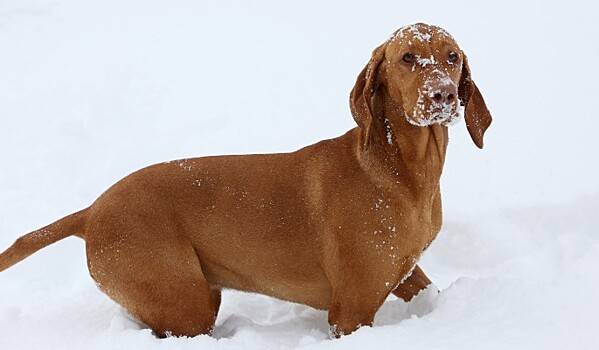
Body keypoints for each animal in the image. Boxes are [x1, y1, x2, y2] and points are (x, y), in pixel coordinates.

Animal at [0, 23, 492, 338]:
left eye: (452, 57)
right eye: (407, 58)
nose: (443, 95)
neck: (402, 172)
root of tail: (91, 211)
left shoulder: (405, 272)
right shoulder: (350, 310)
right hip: (184, 300)